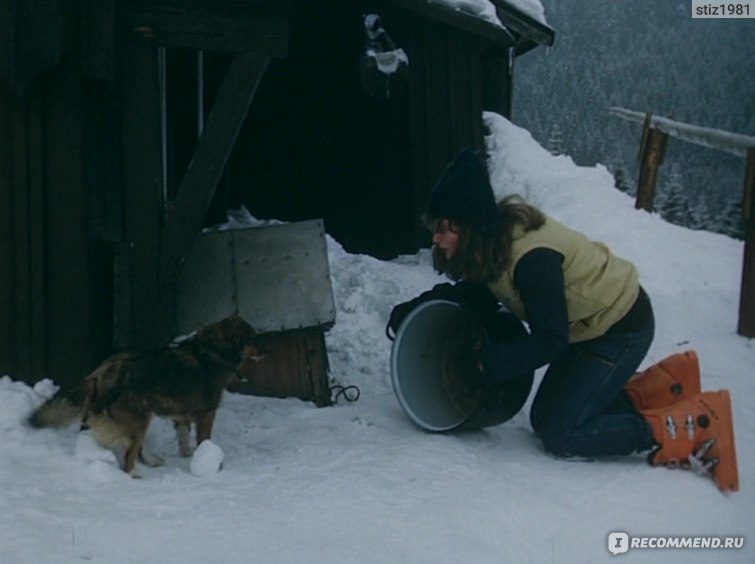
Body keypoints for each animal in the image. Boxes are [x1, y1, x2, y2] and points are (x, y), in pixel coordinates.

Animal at [28, 316, 268, 478]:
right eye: (251, 337)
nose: (265, 352)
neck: (214, 350)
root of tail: (102, 373)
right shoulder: (206, 413)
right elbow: (204, 440)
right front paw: (211, 463)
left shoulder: (181, 414)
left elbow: (183, 435)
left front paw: (188, 454)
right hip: (140, 417)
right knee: (129, 455)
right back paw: (134, 474)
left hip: (141, 415)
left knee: (136, 445)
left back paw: (151, 461)